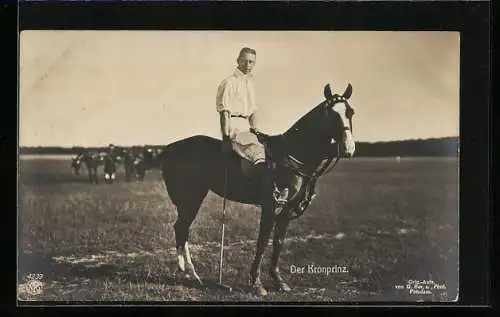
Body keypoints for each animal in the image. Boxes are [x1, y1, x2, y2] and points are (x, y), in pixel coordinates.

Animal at [159, 81, 356, 294]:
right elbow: (262, 242)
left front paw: (279, 280)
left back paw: (186, 271)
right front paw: (256, 283)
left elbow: (278, 242)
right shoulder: (270, 205)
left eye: (350, 112)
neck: (292, 153)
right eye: (331, 113)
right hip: (192, 197)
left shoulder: (287, 209)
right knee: (181, 227)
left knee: (181, 228)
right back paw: (191, 273)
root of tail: (168, 148)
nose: (349, 149)